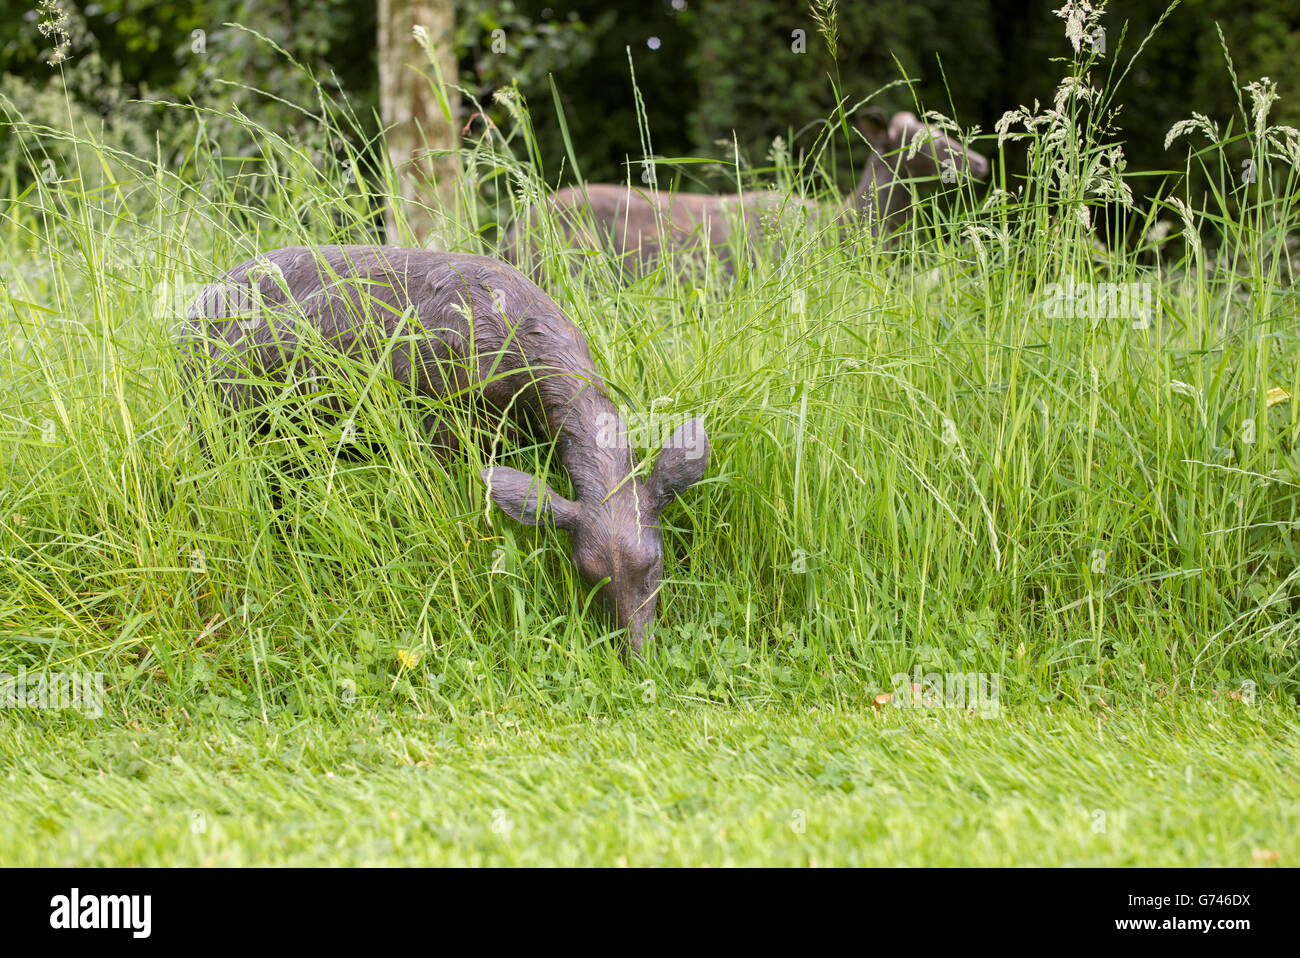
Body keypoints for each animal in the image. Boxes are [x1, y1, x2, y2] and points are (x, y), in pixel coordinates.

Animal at [178, 245, 710, 660]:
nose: (635, 653)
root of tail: (194, 306)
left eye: (654, 566)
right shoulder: (442, 423)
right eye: (587, 575)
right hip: (216, 419)